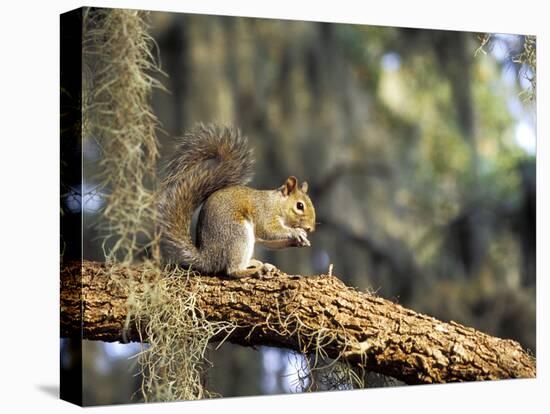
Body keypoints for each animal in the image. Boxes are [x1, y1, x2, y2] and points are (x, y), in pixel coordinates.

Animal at [157, 123, 316, 278]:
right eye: (299, 205)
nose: (310, 228)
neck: (277, 203)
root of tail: (208, 258)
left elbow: (268, 241)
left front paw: (300, 240)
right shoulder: (264, 213)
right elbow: (268, 230)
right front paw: (296, 232)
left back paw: (257, 264)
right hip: (238, 233)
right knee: (232, 270)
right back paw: (256, 270)